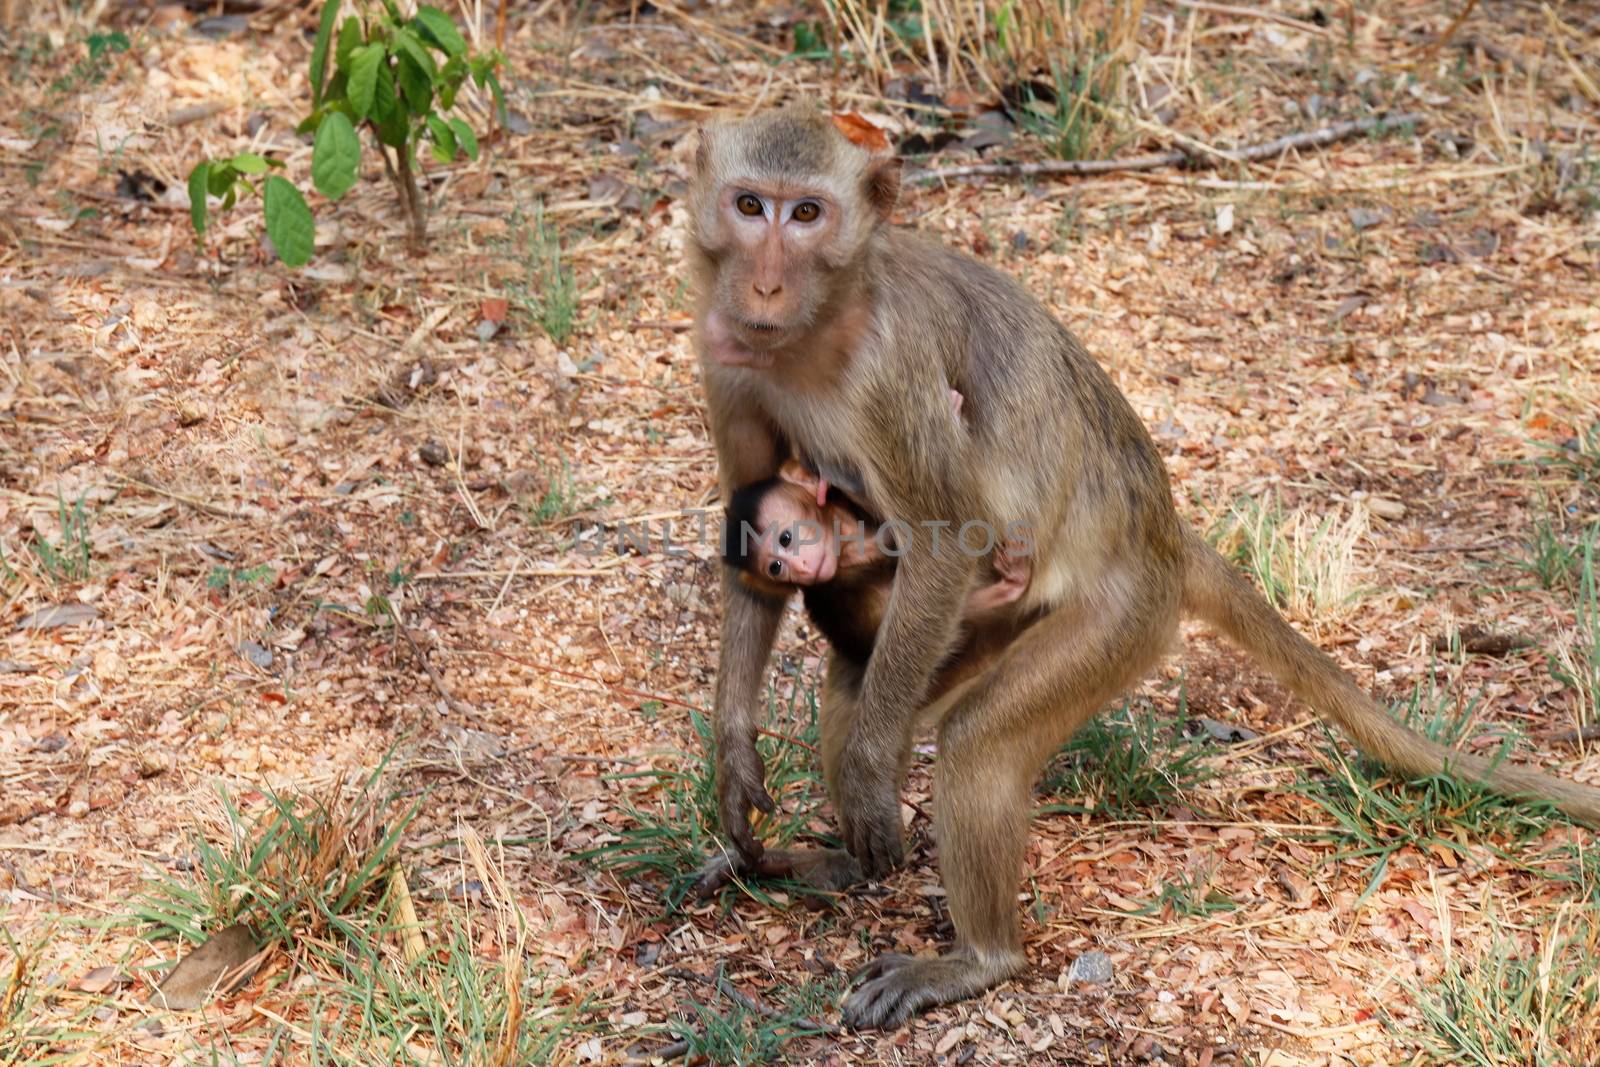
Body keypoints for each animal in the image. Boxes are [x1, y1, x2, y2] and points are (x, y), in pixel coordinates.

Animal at [688, 106, 1600, 1023]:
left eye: (807, 213)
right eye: (749, 205)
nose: (764, 285)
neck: (815, 330)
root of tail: (1159, 528)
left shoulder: (890, 367)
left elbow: (944, 538)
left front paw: (873, 778)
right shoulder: (724, 346)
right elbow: (748, 550)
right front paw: (735, 758)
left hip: (1120, 621)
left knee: (978, 737)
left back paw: (977, 957)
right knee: (856, 689)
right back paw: (835, 862)